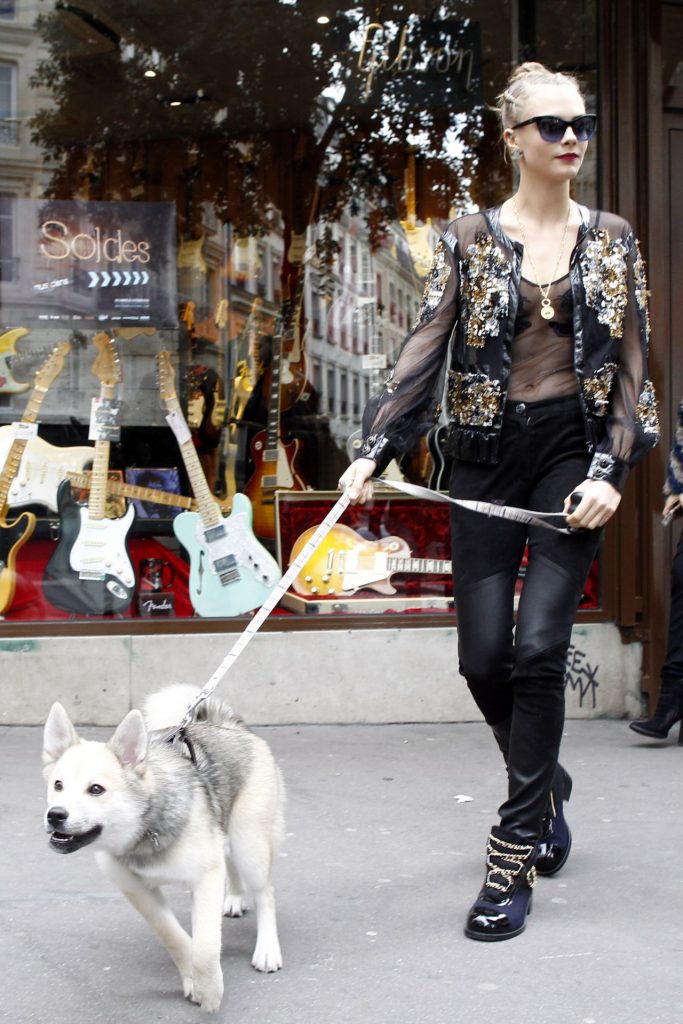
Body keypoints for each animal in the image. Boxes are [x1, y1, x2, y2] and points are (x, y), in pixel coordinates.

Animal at [42, 684, 284, 1011]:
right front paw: (193, 979)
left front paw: (209, 989)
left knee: (265, 893)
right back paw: (234, 897)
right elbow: (173, 936)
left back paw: (267, 949)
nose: (55, 815)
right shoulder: (138, 892)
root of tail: (227, 725)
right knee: (231, 865)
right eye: (58, 785)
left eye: (96, 790)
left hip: (249, 844)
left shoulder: (206, 877)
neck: (146, 831)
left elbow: (205, 946)